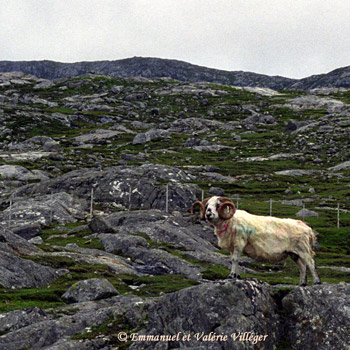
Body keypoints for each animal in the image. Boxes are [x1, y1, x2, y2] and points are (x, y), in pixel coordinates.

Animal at [191, 196, 320, 286]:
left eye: (218, 205)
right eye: (207, 205)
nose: (208, 213)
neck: (230, 220)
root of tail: (307, 228)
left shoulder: (239, 243)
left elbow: (235, 259)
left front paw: (231, 276)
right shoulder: (233, 246)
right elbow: (233, 259)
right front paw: (237, 275)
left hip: (303, 249)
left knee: (311, 263)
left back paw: (317, 282)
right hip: (294, 253)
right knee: (302, 267)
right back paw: (302, 284)